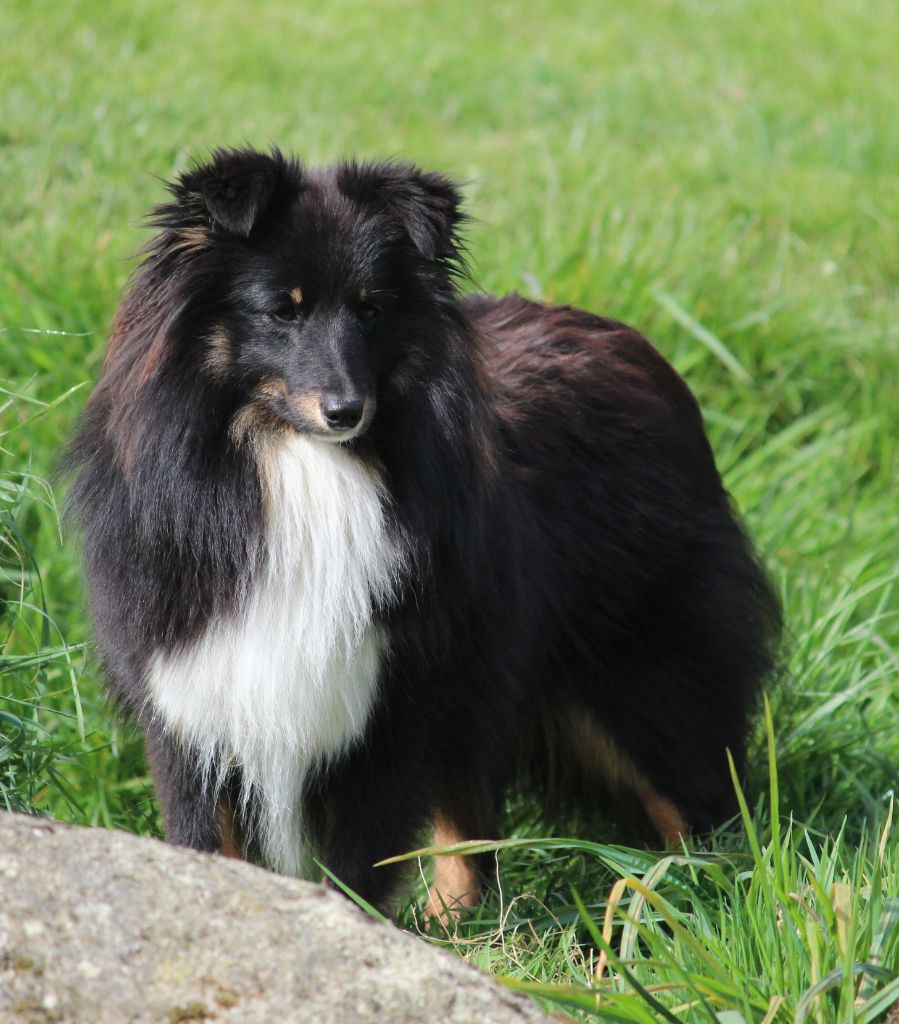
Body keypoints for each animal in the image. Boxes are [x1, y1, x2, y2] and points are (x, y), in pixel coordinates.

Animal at [67, 144, 782, 913]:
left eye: (371, 309)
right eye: (282, 309)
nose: (346, 411)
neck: (298, 467)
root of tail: (640, 349)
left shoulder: (390, 700)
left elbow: (358, 865)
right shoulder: (192, 696)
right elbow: (208, 843)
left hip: (636, 668)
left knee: (689, 792)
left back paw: (689, 903)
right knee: (471, 816)